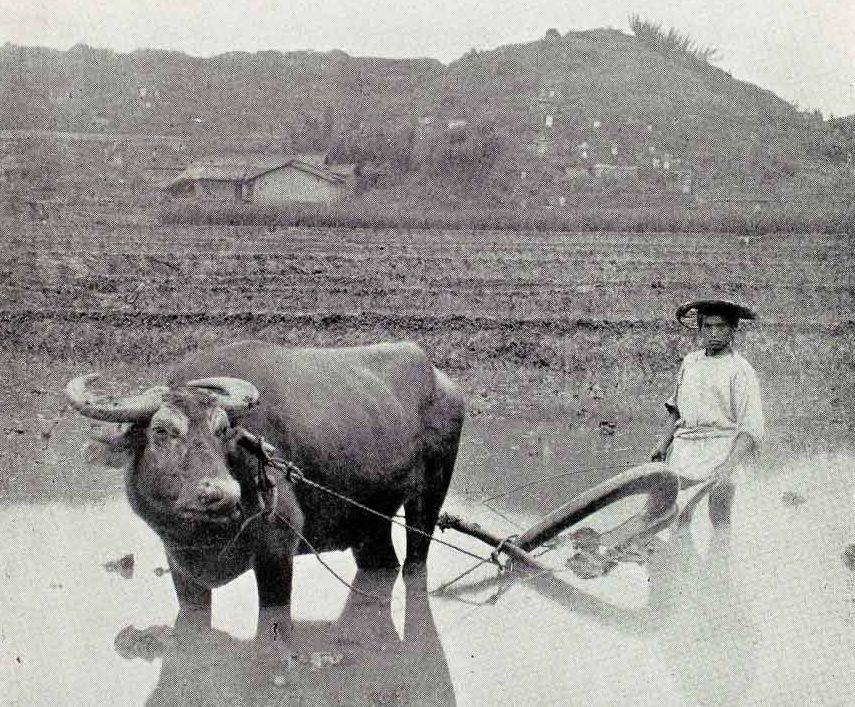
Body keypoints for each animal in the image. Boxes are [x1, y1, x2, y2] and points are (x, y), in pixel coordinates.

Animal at [65, 340, 468, 644]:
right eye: (161, 431)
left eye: (222, 430)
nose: (219, 493)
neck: (206, 536)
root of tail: (439, 379)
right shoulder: (181, 569)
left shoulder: (276, 551)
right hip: (370, 522)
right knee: (383, 563)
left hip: (430, 497)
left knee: (416, 561)